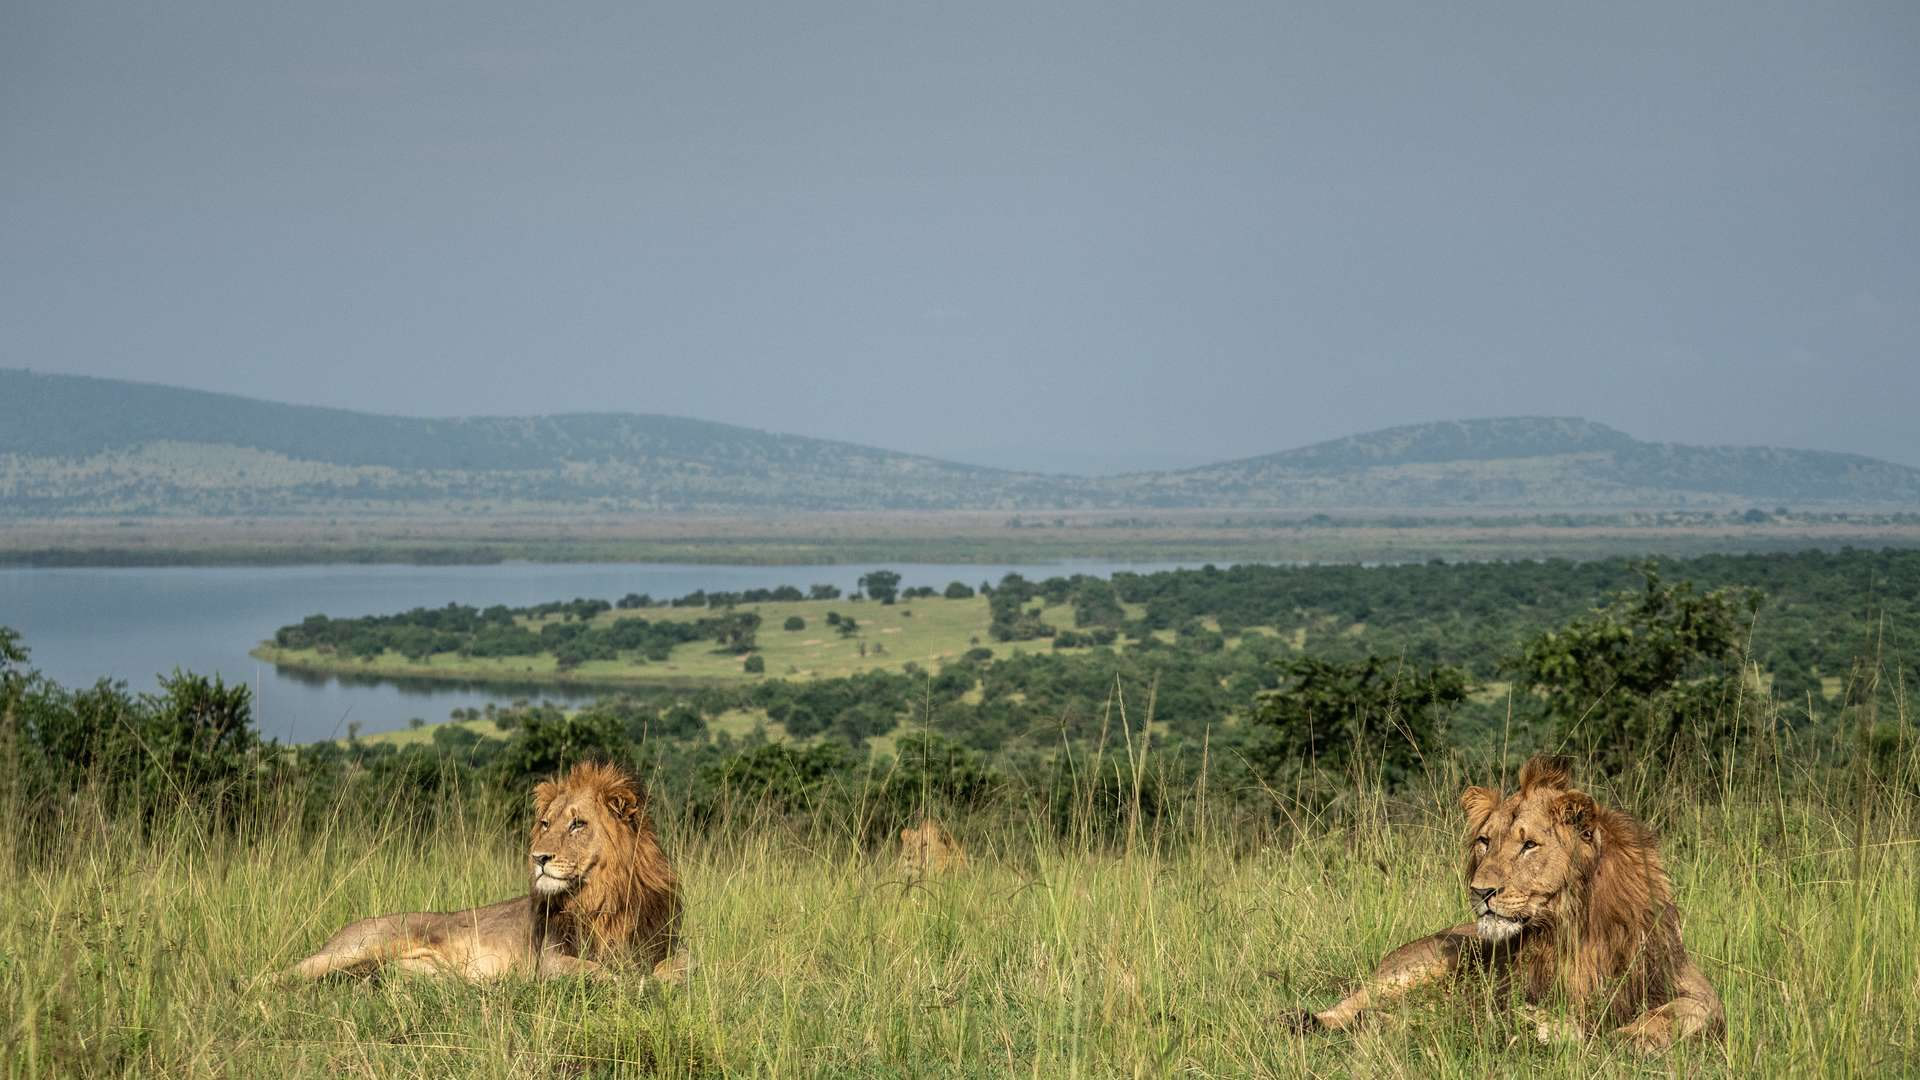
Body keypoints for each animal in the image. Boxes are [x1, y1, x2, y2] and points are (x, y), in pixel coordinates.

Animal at [288, 760, 687, 980]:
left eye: (577, 825)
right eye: (545, 823)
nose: (537, 858)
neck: (602, 897)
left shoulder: (662, 943)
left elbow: (681, 967)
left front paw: (659, 979)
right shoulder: (548, 961)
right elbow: (598, 972)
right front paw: (630, 982)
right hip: (360, 946)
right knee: (289, 971)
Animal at [1305, 753, 1728, 1045]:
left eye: (1529, 845)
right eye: (1484, 840)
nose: (1480, 891)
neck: (1570, 930)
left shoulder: (1684, 982)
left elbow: (1690, 1010)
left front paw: (1635, 1036)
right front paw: (1544, 1026)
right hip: (1426, 963)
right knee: (1352, 1006)